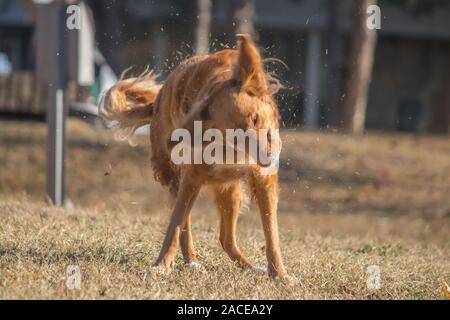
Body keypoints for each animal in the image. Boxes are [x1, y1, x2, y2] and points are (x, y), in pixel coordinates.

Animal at [100, 34, 286, 278]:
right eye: (235, 137)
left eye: (255, 119)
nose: (268, 157)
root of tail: (157, 100)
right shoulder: (191, 176)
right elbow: (176, 224)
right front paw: (162, 264)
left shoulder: (263, 180)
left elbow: (271, 231)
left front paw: (279, 273)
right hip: (175, 178)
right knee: (187, 224)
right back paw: (191, 261)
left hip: (230, 191)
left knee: (226, 239)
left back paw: (251, 267)